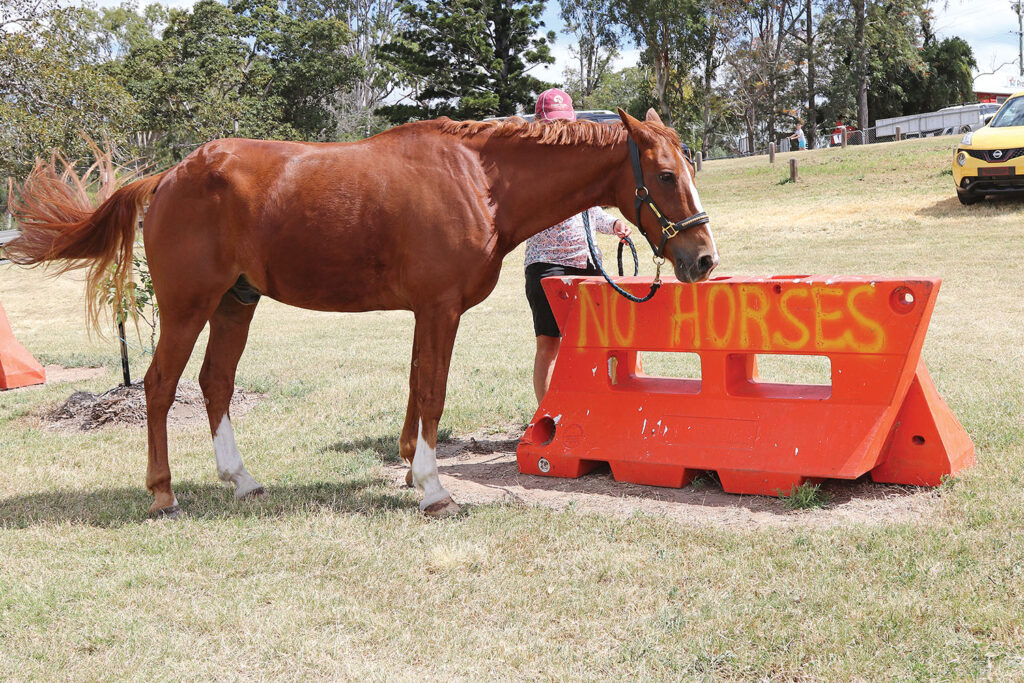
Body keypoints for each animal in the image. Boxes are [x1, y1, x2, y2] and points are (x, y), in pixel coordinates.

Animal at [4, 109, 716, 520]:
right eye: (664, 173)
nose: (703, 258)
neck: (478, 179)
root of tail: (168, 176)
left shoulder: (427, 311)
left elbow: (417, 385)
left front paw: (410, 471)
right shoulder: (440, 309)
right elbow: (432, 390)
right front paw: (433, 488)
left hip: (236, 303)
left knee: (215, 383)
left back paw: (242, 481)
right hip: (187, 306)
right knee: (158, 386)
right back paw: (162, 493)